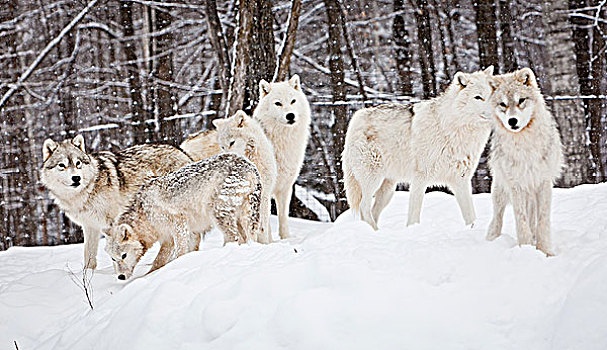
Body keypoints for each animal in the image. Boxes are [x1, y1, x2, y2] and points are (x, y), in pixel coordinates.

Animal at [40, 135, 191, 270]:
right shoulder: (90, 226)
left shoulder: (113, 224)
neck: (85, 192)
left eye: (78, 163)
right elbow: (88, 255)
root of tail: (181, 152)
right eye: (62, 165)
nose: (76, 178)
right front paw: (88, 275)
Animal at [102, 154, 264, 280]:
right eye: (113, 258)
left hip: (218, 215)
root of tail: (251, 167)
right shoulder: (171, 238)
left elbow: (179, 253)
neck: (145, 213)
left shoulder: (179, 226)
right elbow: (158, 262)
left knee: (234, 238)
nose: (120, 277)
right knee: (248, 238)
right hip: (244, 218)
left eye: (124, 255)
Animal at [484, 68, 564, 256]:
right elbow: (521, 221)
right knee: (497, 218)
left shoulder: (543, 183)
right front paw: (526, 249)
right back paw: (491, 239)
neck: (525, 143)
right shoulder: (516, 186)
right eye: (503, 104)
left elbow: (542, 221)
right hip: (500, 191)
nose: (512, 121)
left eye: (521, 100)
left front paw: (545, 251)